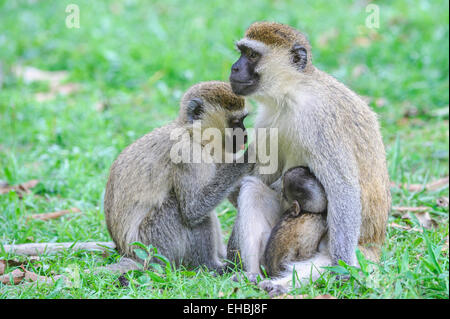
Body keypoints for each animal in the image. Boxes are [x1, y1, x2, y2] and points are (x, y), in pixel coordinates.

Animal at [105, 81, 253, 274]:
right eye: (235, 122)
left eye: (243, 120)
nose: (245, 135)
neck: (193, 134)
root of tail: (130, 253)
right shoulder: (186, 153)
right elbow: (192, 209)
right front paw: (249, 157)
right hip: (155, 243)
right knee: (182, 209)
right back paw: (211, 266)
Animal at [229, 21, 390, 292]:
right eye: (241, 52)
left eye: (251, 55)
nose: (234, 67)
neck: (292, 94)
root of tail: (375, 243)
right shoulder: (267, 120)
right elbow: (262, 176)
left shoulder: (321, 121)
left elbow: (343, 187)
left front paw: (343, 269)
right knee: (253, 189)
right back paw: (253, 275)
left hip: (355, 251)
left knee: (328, 262)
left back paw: (281, 284)